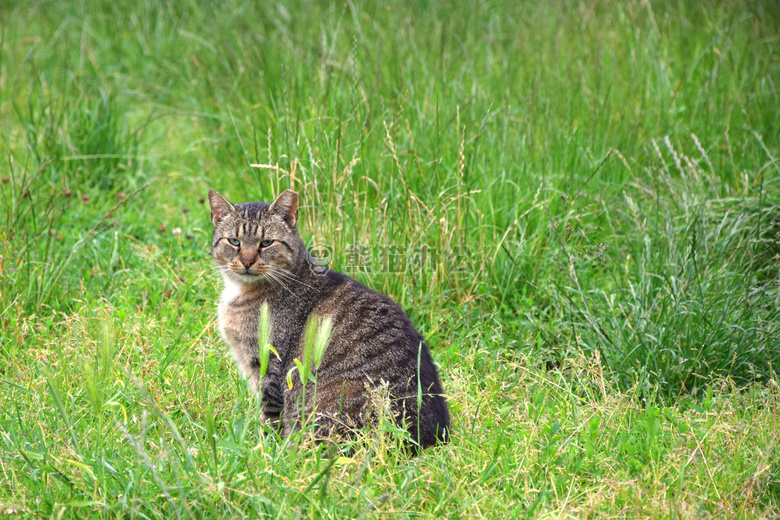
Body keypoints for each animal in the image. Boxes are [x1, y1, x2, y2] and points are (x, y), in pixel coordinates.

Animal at [207, 189, 450, 448]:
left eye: (266, 243)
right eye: (234, 242)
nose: (247, 261)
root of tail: (427, 437)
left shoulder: (269, 367)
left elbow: (270, 419)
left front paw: (264, 449)